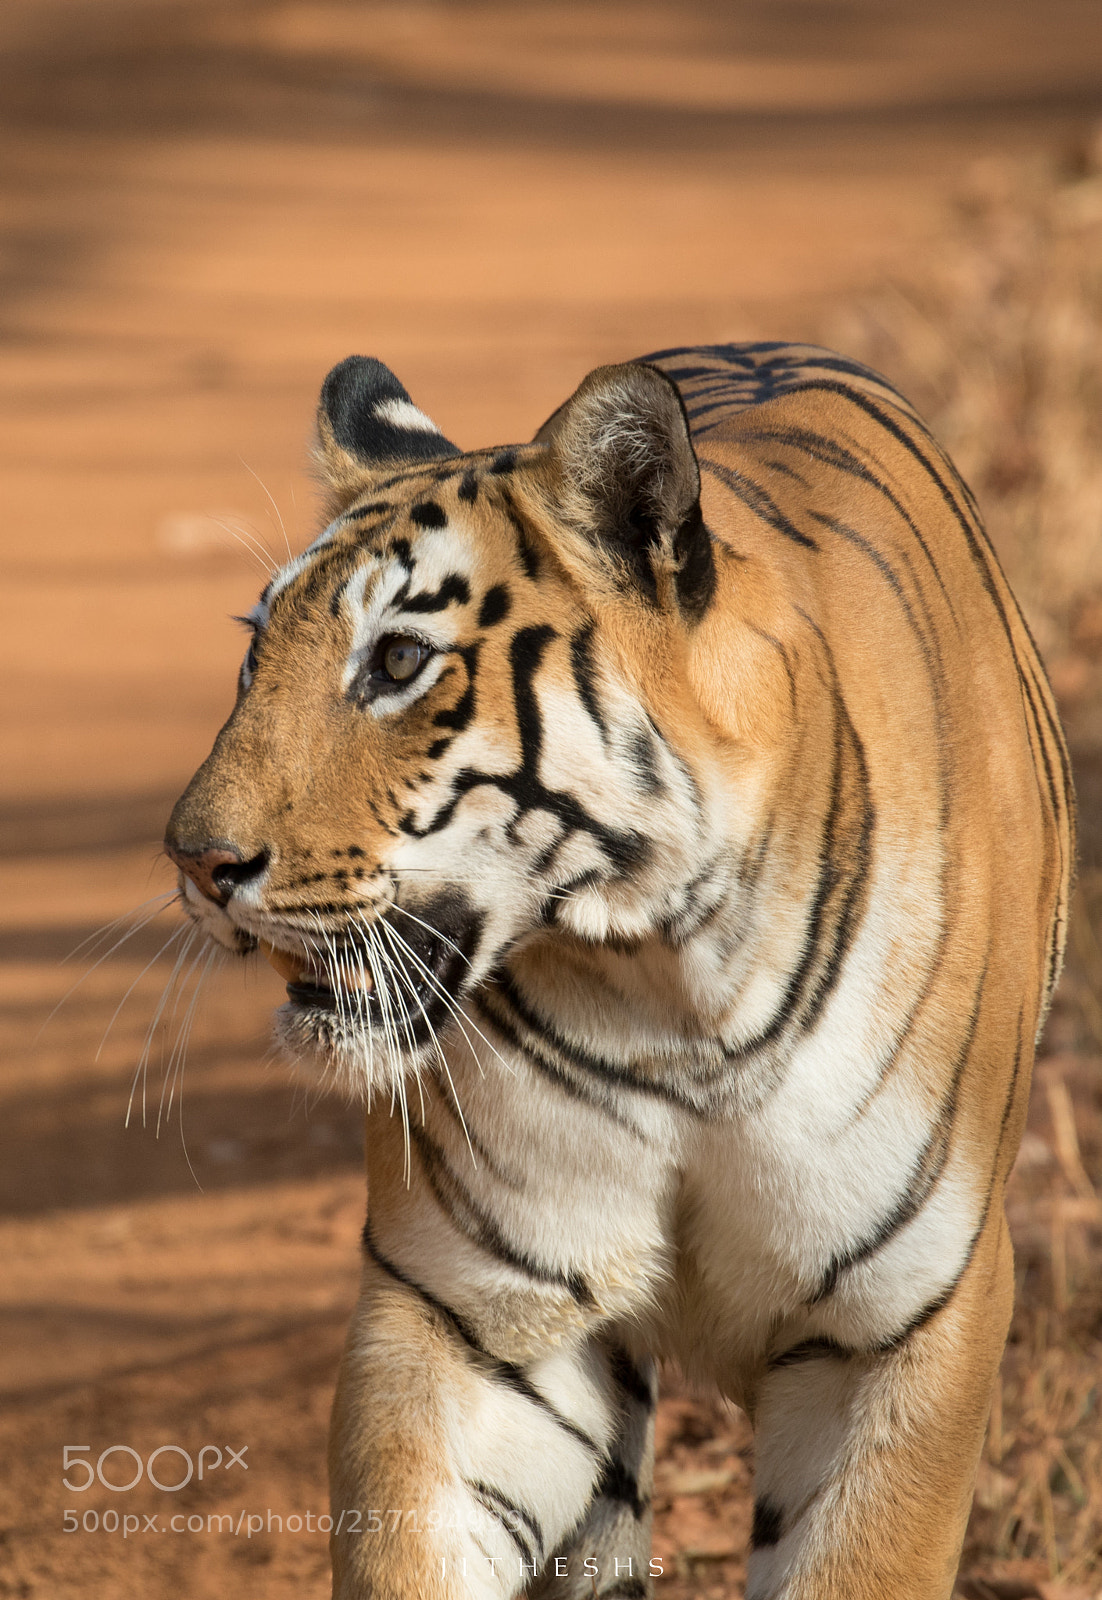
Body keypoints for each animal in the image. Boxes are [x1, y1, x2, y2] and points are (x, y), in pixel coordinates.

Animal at [165, 340, 1074, 1600]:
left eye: (396, 659)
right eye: (255, 655)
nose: (196, 861)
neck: (672, 986)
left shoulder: (900, 1325)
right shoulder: (478, 1313)